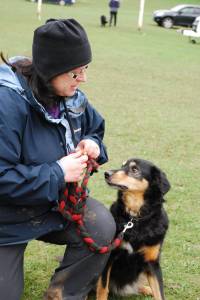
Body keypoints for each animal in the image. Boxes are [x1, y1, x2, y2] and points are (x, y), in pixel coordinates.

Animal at [96, 158, 170, 298]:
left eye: (134, 169)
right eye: (122, 166)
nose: (106, 173)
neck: (134, 219)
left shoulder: (152, 262)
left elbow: (159, 292)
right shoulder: (109, 257)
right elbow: (102, 289)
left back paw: (146, 289)